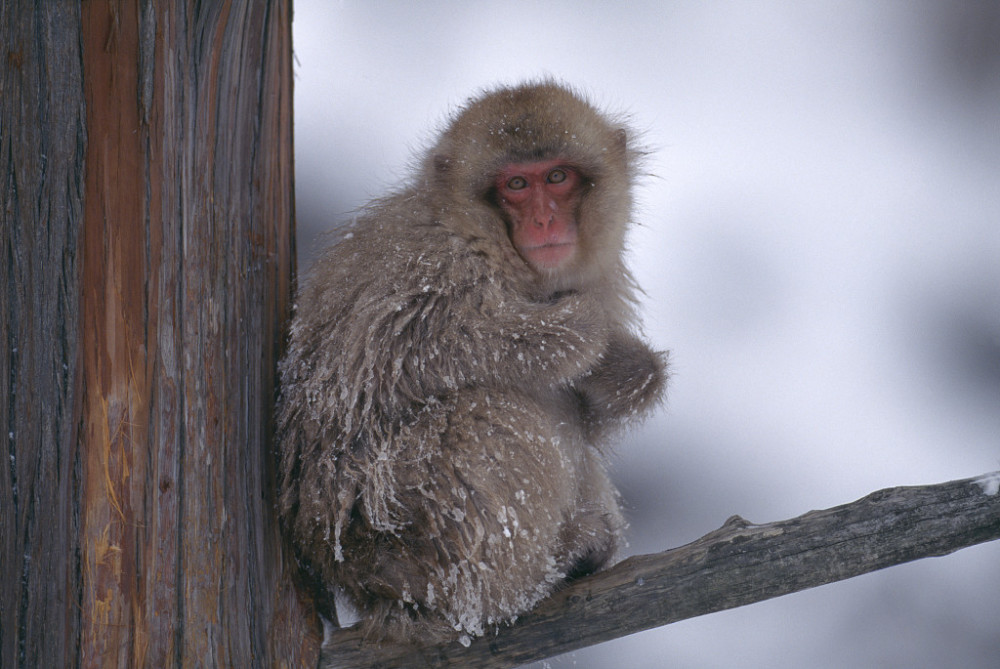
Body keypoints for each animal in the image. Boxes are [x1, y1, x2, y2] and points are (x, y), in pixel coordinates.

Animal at [276, 79, 664, 640]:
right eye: (516, 185)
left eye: (559, 176)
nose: (544, 219)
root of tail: (363, 586)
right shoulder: (433, 263)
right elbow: (405, 354)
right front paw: (581, 331)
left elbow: (592, 419)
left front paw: (632, 370)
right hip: (406, 524)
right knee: (491, 413)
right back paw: (522, 584)